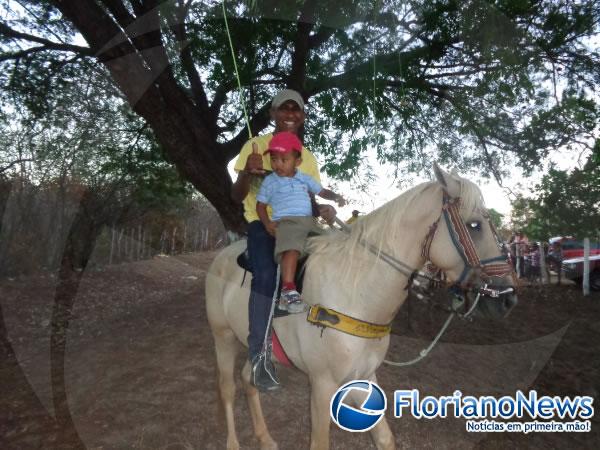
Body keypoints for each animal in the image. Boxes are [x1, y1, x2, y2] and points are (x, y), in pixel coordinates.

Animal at [206, 166, 516, 450]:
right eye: (475, 225)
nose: (507, 298)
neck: (357, 293)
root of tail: (221, 256)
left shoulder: (363, 377)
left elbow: (384, 438)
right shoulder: (322, 385)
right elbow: (320, 443)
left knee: (248, 380)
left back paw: (266, 438)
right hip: (222, 336)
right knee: (228, 388)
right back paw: (233, 442)